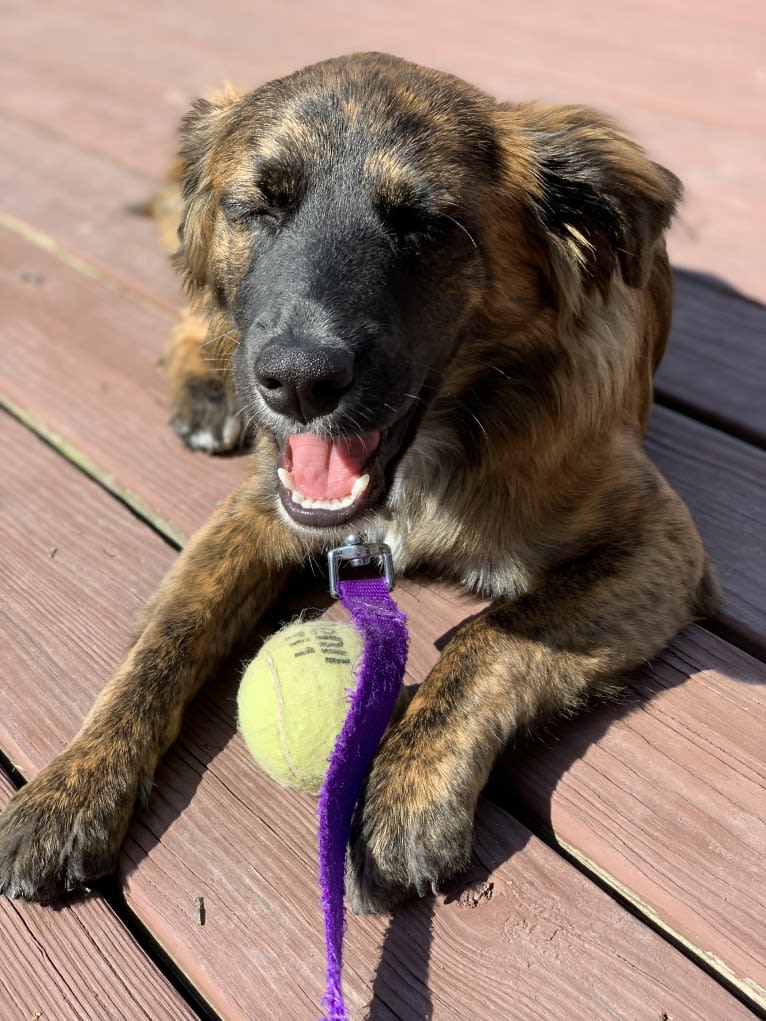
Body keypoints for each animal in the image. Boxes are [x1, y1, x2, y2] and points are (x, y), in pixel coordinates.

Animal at [0, 51, 719, 914]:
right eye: (258, 207)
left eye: (425, 224)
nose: (297, 382)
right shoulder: (257, 509)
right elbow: (164, 640)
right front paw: (72, 785)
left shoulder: (659, 543)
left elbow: (494, 634)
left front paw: (407, 788)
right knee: (197, 309)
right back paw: (206, 384)